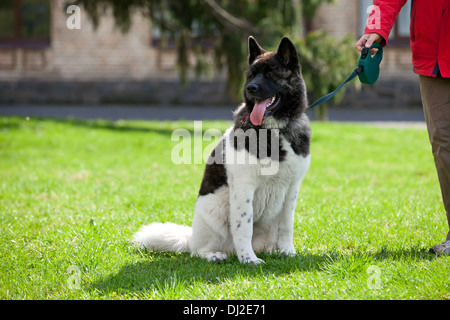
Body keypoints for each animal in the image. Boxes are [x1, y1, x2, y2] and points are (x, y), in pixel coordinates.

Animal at [132, 36, 312, 264]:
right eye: (251, 75)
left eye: (271, 75)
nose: (251, 88)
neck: (275, 130)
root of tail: (190, 237)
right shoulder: (244, 187)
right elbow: (243, 227)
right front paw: (249, 260)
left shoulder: (291, 190)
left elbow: (287, 225)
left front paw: (288, 252)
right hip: (214, 211)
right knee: (198, 249)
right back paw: (215, 255)